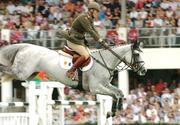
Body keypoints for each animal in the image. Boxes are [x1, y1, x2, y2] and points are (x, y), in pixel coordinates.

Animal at [0, 42, 146, 115]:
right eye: (137, 54)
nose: (144, 71)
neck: (105, 62)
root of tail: (26, 46)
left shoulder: (105, 85)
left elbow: (119, 92)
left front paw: (115, 109)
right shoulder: (95, 88)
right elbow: (115, 94)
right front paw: (113, 111)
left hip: (29, 74)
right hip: (21, 72)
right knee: (6, 69)